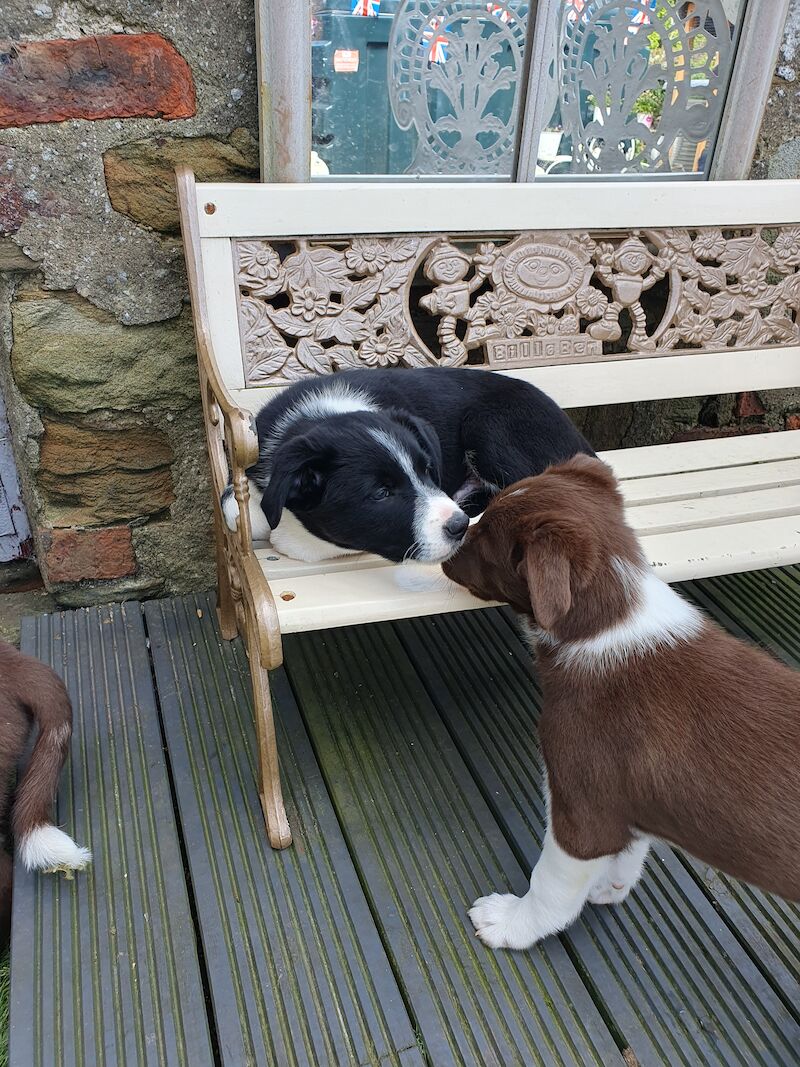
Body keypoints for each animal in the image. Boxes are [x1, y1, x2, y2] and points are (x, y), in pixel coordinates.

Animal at [445, 454, 800, 947]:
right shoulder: (627, 807)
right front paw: (609, 887)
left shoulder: (582, 807)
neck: (608, 622)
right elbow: (630, 851)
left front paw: (513, 924)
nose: (449, 540)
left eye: (482, 540)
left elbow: (550, 885)